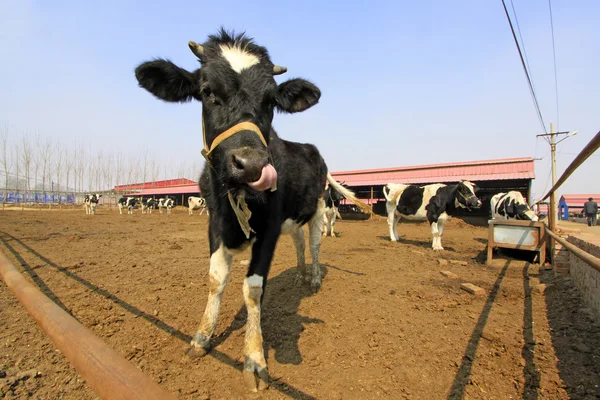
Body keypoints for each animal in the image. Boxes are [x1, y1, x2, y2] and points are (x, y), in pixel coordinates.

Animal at [136, 29, 370, 392]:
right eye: (207, 91)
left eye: (271, 101)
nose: (252, 165)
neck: (236, 199)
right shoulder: (214, 224)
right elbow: (216, 279)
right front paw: (202, 337)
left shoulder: (269, 230)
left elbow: (253, 288)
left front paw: (255, 357)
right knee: (300, 243)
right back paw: (300, 273)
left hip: (319, 207)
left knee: (315, 244)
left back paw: (314, 277)